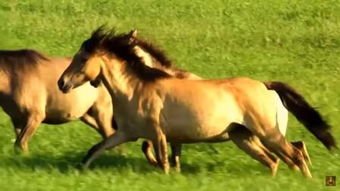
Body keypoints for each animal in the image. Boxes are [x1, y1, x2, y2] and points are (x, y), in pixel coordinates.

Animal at [57, 27, 334, 177]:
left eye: (82, 59)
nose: (62, 83)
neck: (136, 89)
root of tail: (265, 85)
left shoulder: (158, 134)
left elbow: (164, 161)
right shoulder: (127, 133)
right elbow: (96, 150)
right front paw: (78, 171)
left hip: (266, 132)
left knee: (294, 154)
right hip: (243, 136)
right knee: (276, 160)